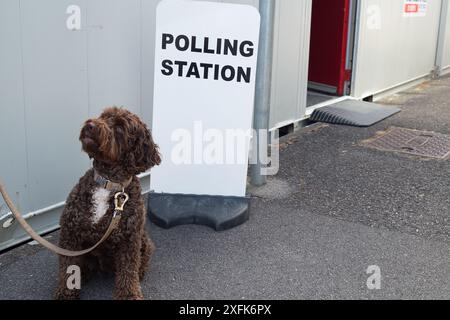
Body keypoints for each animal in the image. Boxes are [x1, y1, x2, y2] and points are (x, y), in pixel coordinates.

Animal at [54, 107, 161, 300]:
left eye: (119, 126)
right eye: (103, 116)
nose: (90, 125)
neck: (108, 182)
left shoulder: (130, 239)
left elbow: (128, 271)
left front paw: (129, 295)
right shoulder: (70, 232)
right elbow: (68, 267)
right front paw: (65, 294)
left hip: (144, 241)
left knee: (140, 263)